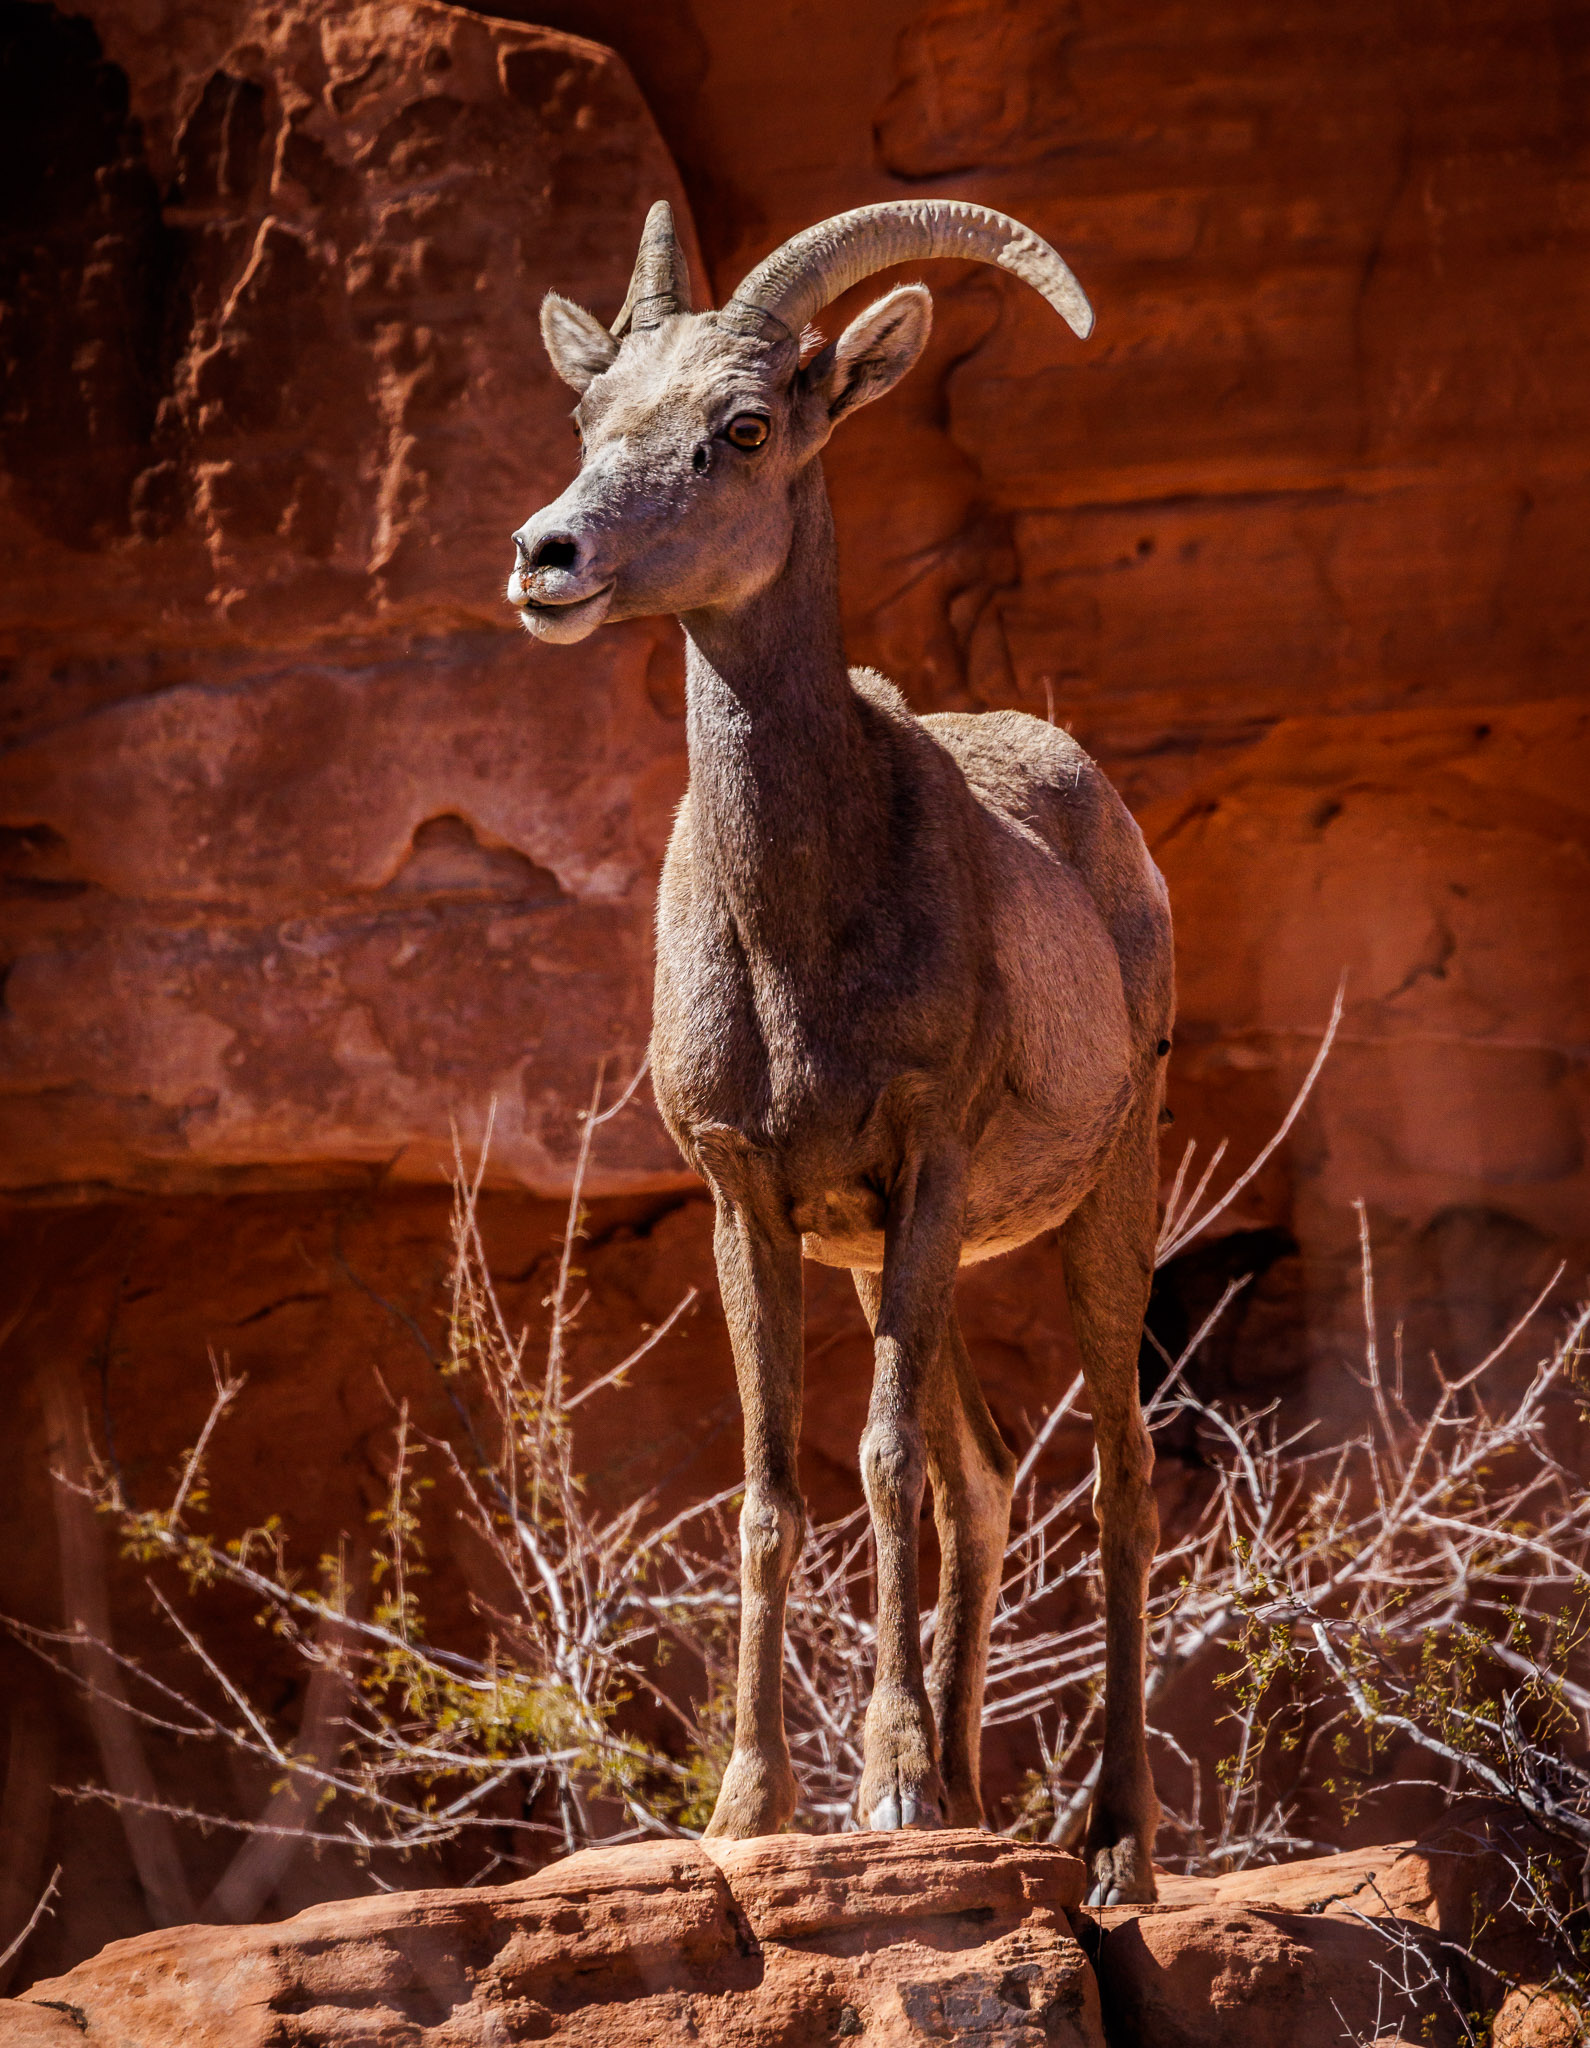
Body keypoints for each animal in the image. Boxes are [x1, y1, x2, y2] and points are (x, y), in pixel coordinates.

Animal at [516, 199, 1172, 1892]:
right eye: (590, 419)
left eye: (743, 429)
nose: (546, 558)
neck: (798, 933)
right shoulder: (754, 1201)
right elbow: (768, 1489)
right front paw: (754, 1807)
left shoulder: (925, 1167)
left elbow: (871, 1466)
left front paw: (876, 1791)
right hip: (892, 1267)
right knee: (984, 1481)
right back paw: (970, 1798)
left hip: (1101, 1202)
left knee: (1113, 1479)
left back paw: (1110, 1849)